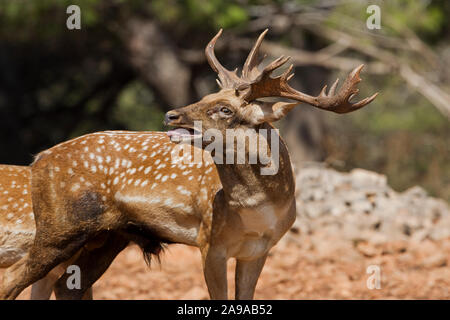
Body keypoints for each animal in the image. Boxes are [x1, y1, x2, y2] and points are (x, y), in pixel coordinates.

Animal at [0, 28, 376, 298]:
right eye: (206, 96)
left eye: (224, 108)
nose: (172, 115)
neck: (259, 213)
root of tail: (39, 159)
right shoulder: (210, 242)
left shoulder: (258, 250)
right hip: (59, 228)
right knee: (12, 281)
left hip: (105, 238)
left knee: (65, 287)